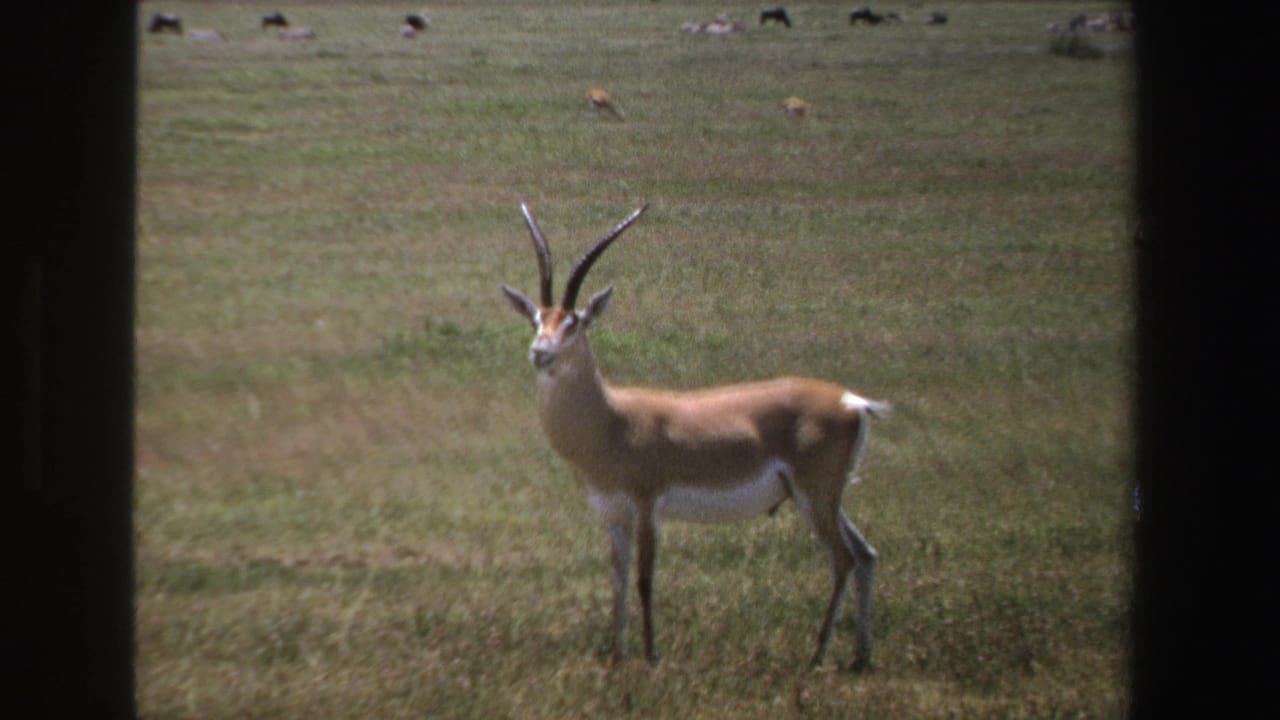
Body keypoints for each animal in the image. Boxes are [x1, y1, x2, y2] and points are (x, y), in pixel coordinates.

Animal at [500, 201, 888, 671]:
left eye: (574, 323)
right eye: (538, 319)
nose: (541, 353)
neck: (611, 421)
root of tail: (852, 401)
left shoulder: (647, 506)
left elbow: (645, 579)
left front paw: (651, 657)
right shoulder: (613, 516)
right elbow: (618, 581)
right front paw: (617, 658)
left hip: (815, 496)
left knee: (844, 559)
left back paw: (816, 657)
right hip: (822, 497)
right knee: (866, 555)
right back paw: (860, 657)